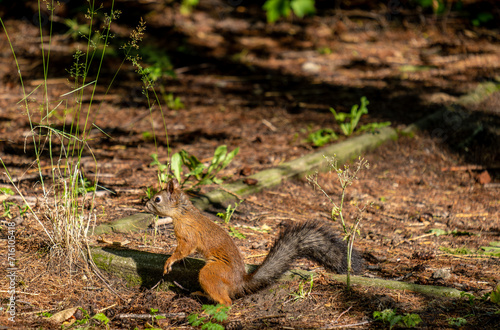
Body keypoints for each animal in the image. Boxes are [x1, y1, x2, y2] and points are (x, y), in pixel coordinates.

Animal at [145, 179, 364, 306]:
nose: (145, 204)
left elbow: (183, 250)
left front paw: (169, 262)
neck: (182, 213)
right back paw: (201, 294)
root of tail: (240, 281)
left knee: (226, 302)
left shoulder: (187, 235)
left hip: (212, 273)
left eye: (157, 199)